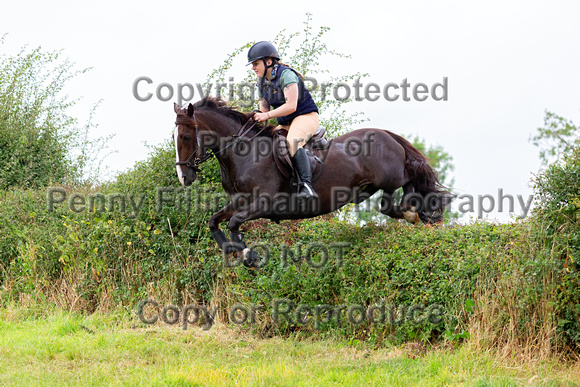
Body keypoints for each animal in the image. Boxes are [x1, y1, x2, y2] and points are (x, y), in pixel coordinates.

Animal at [173, 96, 454, 270]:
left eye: (186, 136)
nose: (184, 177)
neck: (245, 153)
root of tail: (387, 134)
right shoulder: (238, 202)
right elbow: (214, 221)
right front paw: (232, 249)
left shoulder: (264, 204)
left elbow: (233, 222)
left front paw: (247, 254)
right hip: (372, 184)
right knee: (388, 202)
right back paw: (411, 212)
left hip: (391, 175)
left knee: (410, 178)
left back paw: (414, 211)